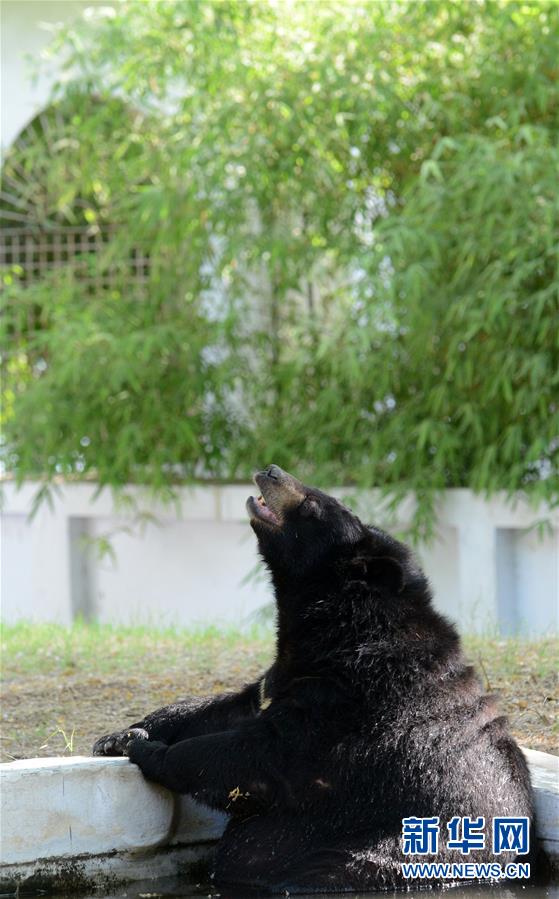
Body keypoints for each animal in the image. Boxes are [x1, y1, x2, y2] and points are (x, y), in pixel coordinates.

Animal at [93, 464, 535, 892]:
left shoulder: (351, 701)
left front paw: (147, 750)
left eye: (312, 505)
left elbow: (259, 756)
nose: (271, 470)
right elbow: (228, 707)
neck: (337, 629)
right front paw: (120, 735)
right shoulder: (290, 675)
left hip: (387, 853)